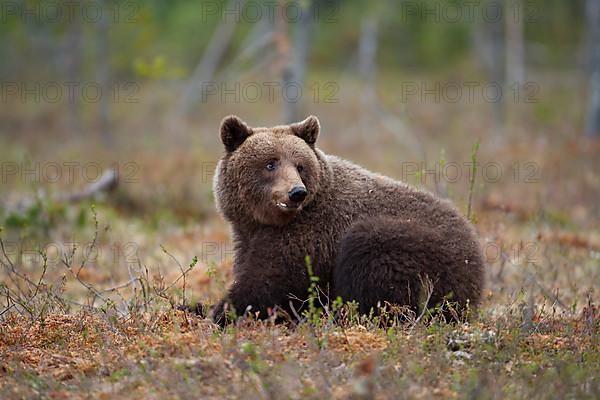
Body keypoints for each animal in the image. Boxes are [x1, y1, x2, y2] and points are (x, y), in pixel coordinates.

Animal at [210, 115, 482, 324]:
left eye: (300, 165)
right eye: (270, 163)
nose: (297, 192)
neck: (264, 222)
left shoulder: (309, 235)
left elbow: (268, 283)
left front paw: (214, 311)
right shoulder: (248, 234)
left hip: (422, 251)